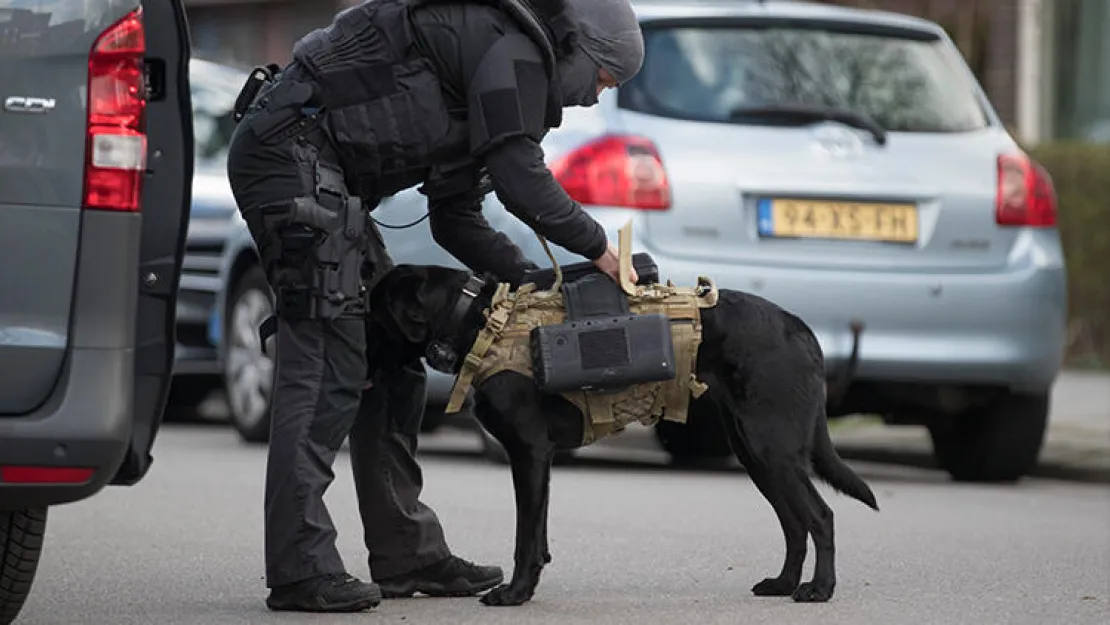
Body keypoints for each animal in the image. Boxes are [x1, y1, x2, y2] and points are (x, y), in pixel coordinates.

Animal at [368, 263, 879, 608]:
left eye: (372, 308)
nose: (356, 347)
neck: (481, 321)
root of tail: (803, 328)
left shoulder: (528, 453)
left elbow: (524, 535)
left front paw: (515, 593)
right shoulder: (541, 460)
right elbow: (538, 532)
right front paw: (528, 584)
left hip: (772, 448)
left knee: (820, 516)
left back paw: (819, 589)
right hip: (756, 452)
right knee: (794, 522)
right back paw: (783, 584)